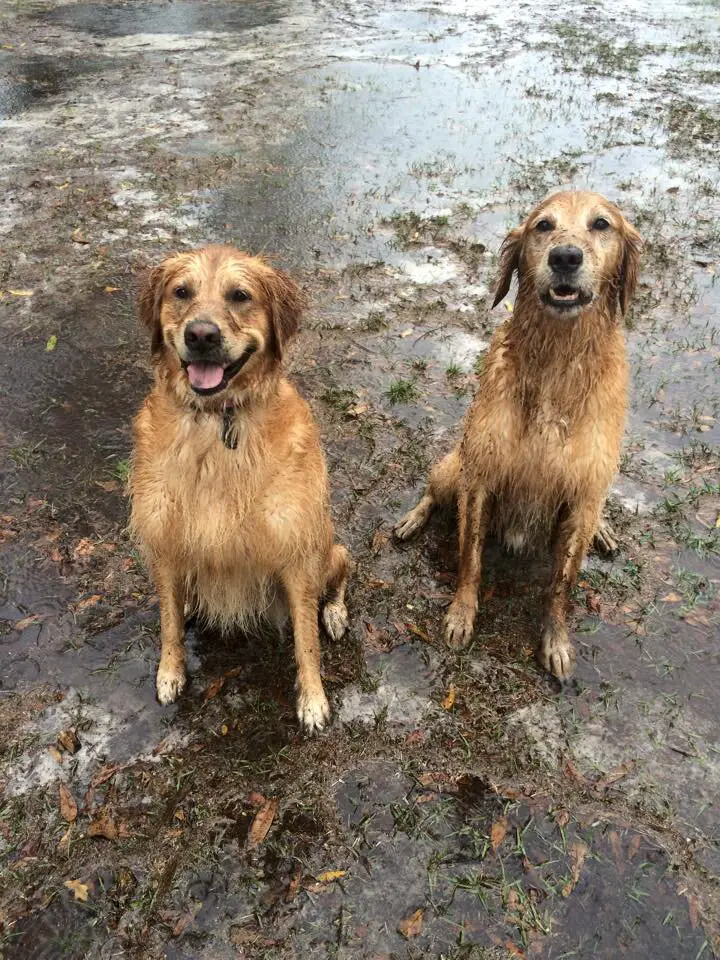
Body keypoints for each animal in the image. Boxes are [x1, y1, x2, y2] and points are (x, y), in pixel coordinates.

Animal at [133, 244, 354, 732]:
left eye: (240, 295)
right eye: (181, 292)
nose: (200, 335)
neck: (219, 419)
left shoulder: (295, 551)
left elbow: (306, 640)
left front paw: (313, 700)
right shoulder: (165, 543)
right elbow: (168, 621)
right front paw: (169, 672)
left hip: (332, 548)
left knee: (338, 582)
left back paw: (334, 613)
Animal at [394, 191, 640, 680]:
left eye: (602, 224)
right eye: (543, 225)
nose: (565, 257)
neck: (558, 361)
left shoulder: (581, 491)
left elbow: (562, 583)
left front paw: (556, 640)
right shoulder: (481, 476)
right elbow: (470, 559)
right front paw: (460, 616)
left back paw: (604, 531)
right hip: (454, 466)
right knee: (431, 493)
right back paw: (412, 520)